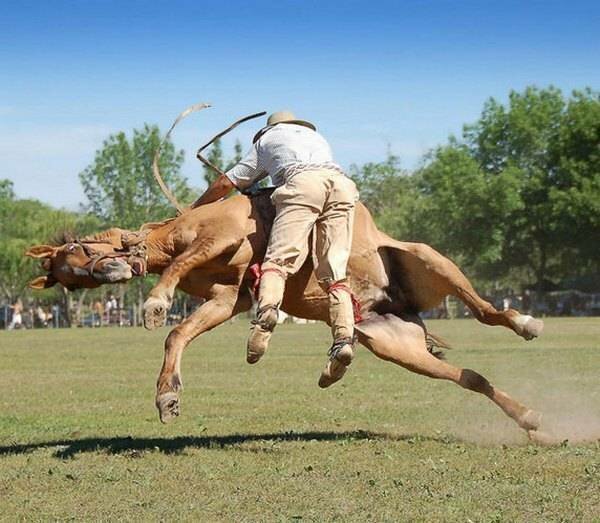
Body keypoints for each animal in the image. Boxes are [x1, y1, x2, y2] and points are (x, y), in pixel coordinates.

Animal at [25, 104, 548, 440]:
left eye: (77, 247)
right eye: (69, 279)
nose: (108, 274)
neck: (174, 232)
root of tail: (395, 303)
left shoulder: (225, 237)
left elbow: (178, 266)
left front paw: (154, 303)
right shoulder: (226, 299)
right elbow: (179, 334)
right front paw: (167, 399)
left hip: (431, 260)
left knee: (485, 312)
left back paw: (526, 324)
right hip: (396, 346)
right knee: (469, 376)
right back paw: (528, 418)